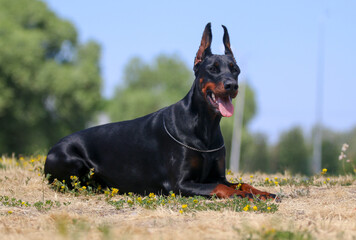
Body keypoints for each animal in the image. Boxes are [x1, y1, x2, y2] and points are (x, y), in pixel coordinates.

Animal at [44, 22, 276, 200]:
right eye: (213, 69)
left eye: (235, 70)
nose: (232, 85)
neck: (205, 125)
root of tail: (52, 147)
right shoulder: (180, 184)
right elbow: (222, 188)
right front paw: (244, 195)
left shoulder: (218, 176)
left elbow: (241, 183)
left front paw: (263, 193)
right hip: (73, 161)